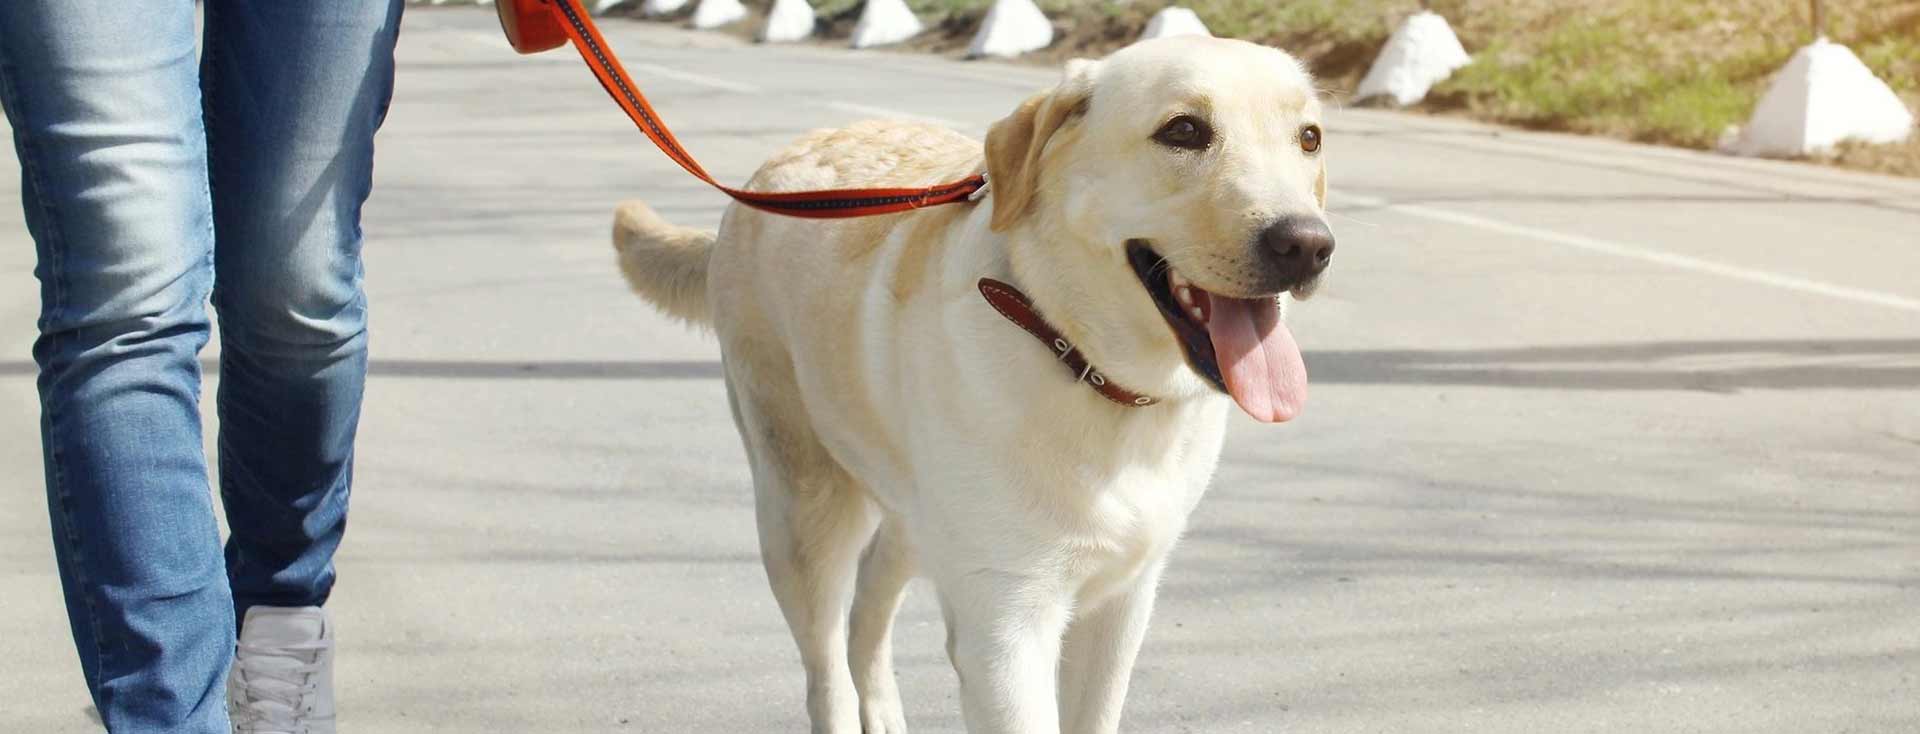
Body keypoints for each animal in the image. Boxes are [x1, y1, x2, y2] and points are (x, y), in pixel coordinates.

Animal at [606, 35, 1328, 734]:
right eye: (1183, 131)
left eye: (1310, 137)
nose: (1308, 245)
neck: (1077, 357)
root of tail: (763, 178)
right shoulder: (1006, 628)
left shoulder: (1122, 606)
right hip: (802, 507)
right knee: (825, 673)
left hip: (914, 509)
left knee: (871, 597)